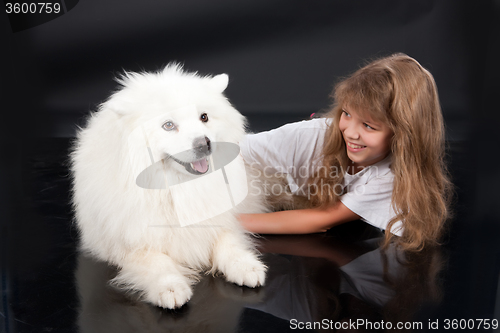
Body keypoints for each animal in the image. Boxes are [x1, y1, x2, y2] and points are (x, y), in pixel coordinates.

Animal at [69, 65, 270, 308]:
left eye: (204, 117)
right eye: (168, 125)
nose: (204, 143)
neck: (177, 186)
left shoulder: (224, 219)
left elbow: (228, 240)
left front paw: (244, 265)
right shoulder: (128, 243)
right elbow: (157, 261)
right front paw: (170, 286)